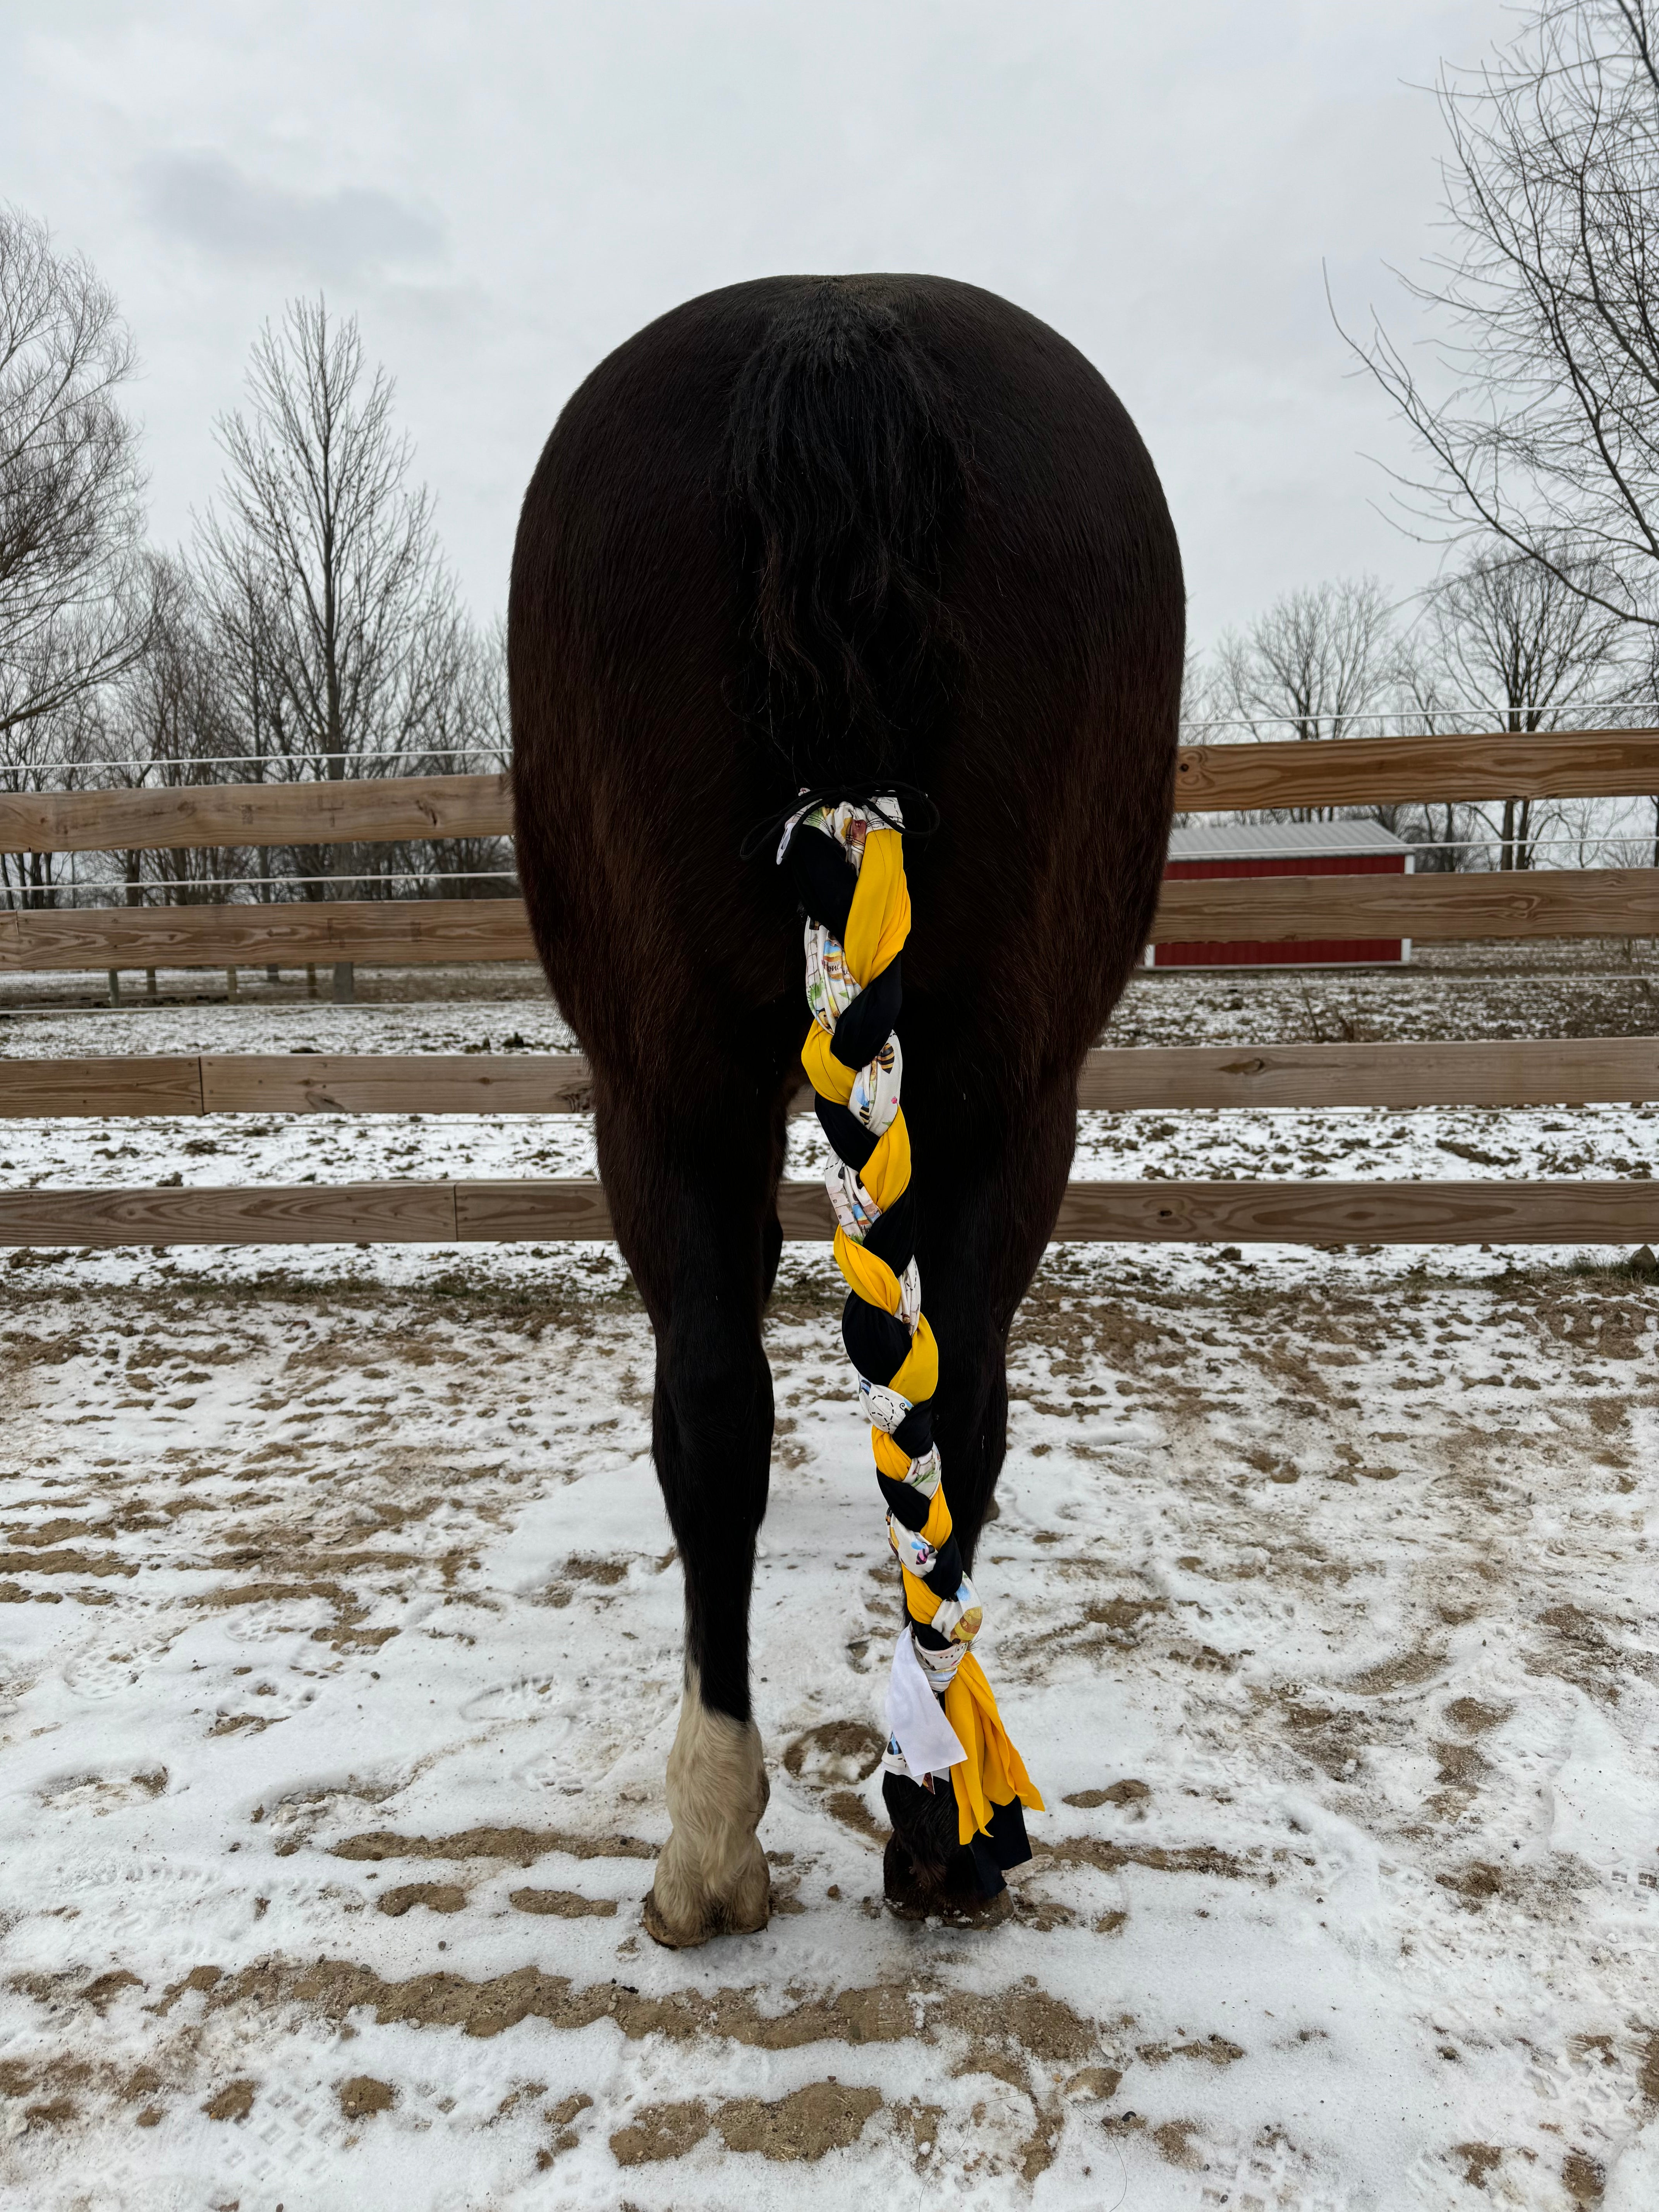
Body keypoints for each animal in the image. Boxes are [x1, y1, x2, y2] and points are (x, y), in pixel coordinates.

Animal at [507, 268, 1185, 1946]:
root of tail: (835, 329)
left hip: (677, 1087)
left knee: (738, 1408)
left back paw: (762, 1830)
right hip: (981, 1089)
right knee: (913, 1401)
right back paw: (885, 1819)